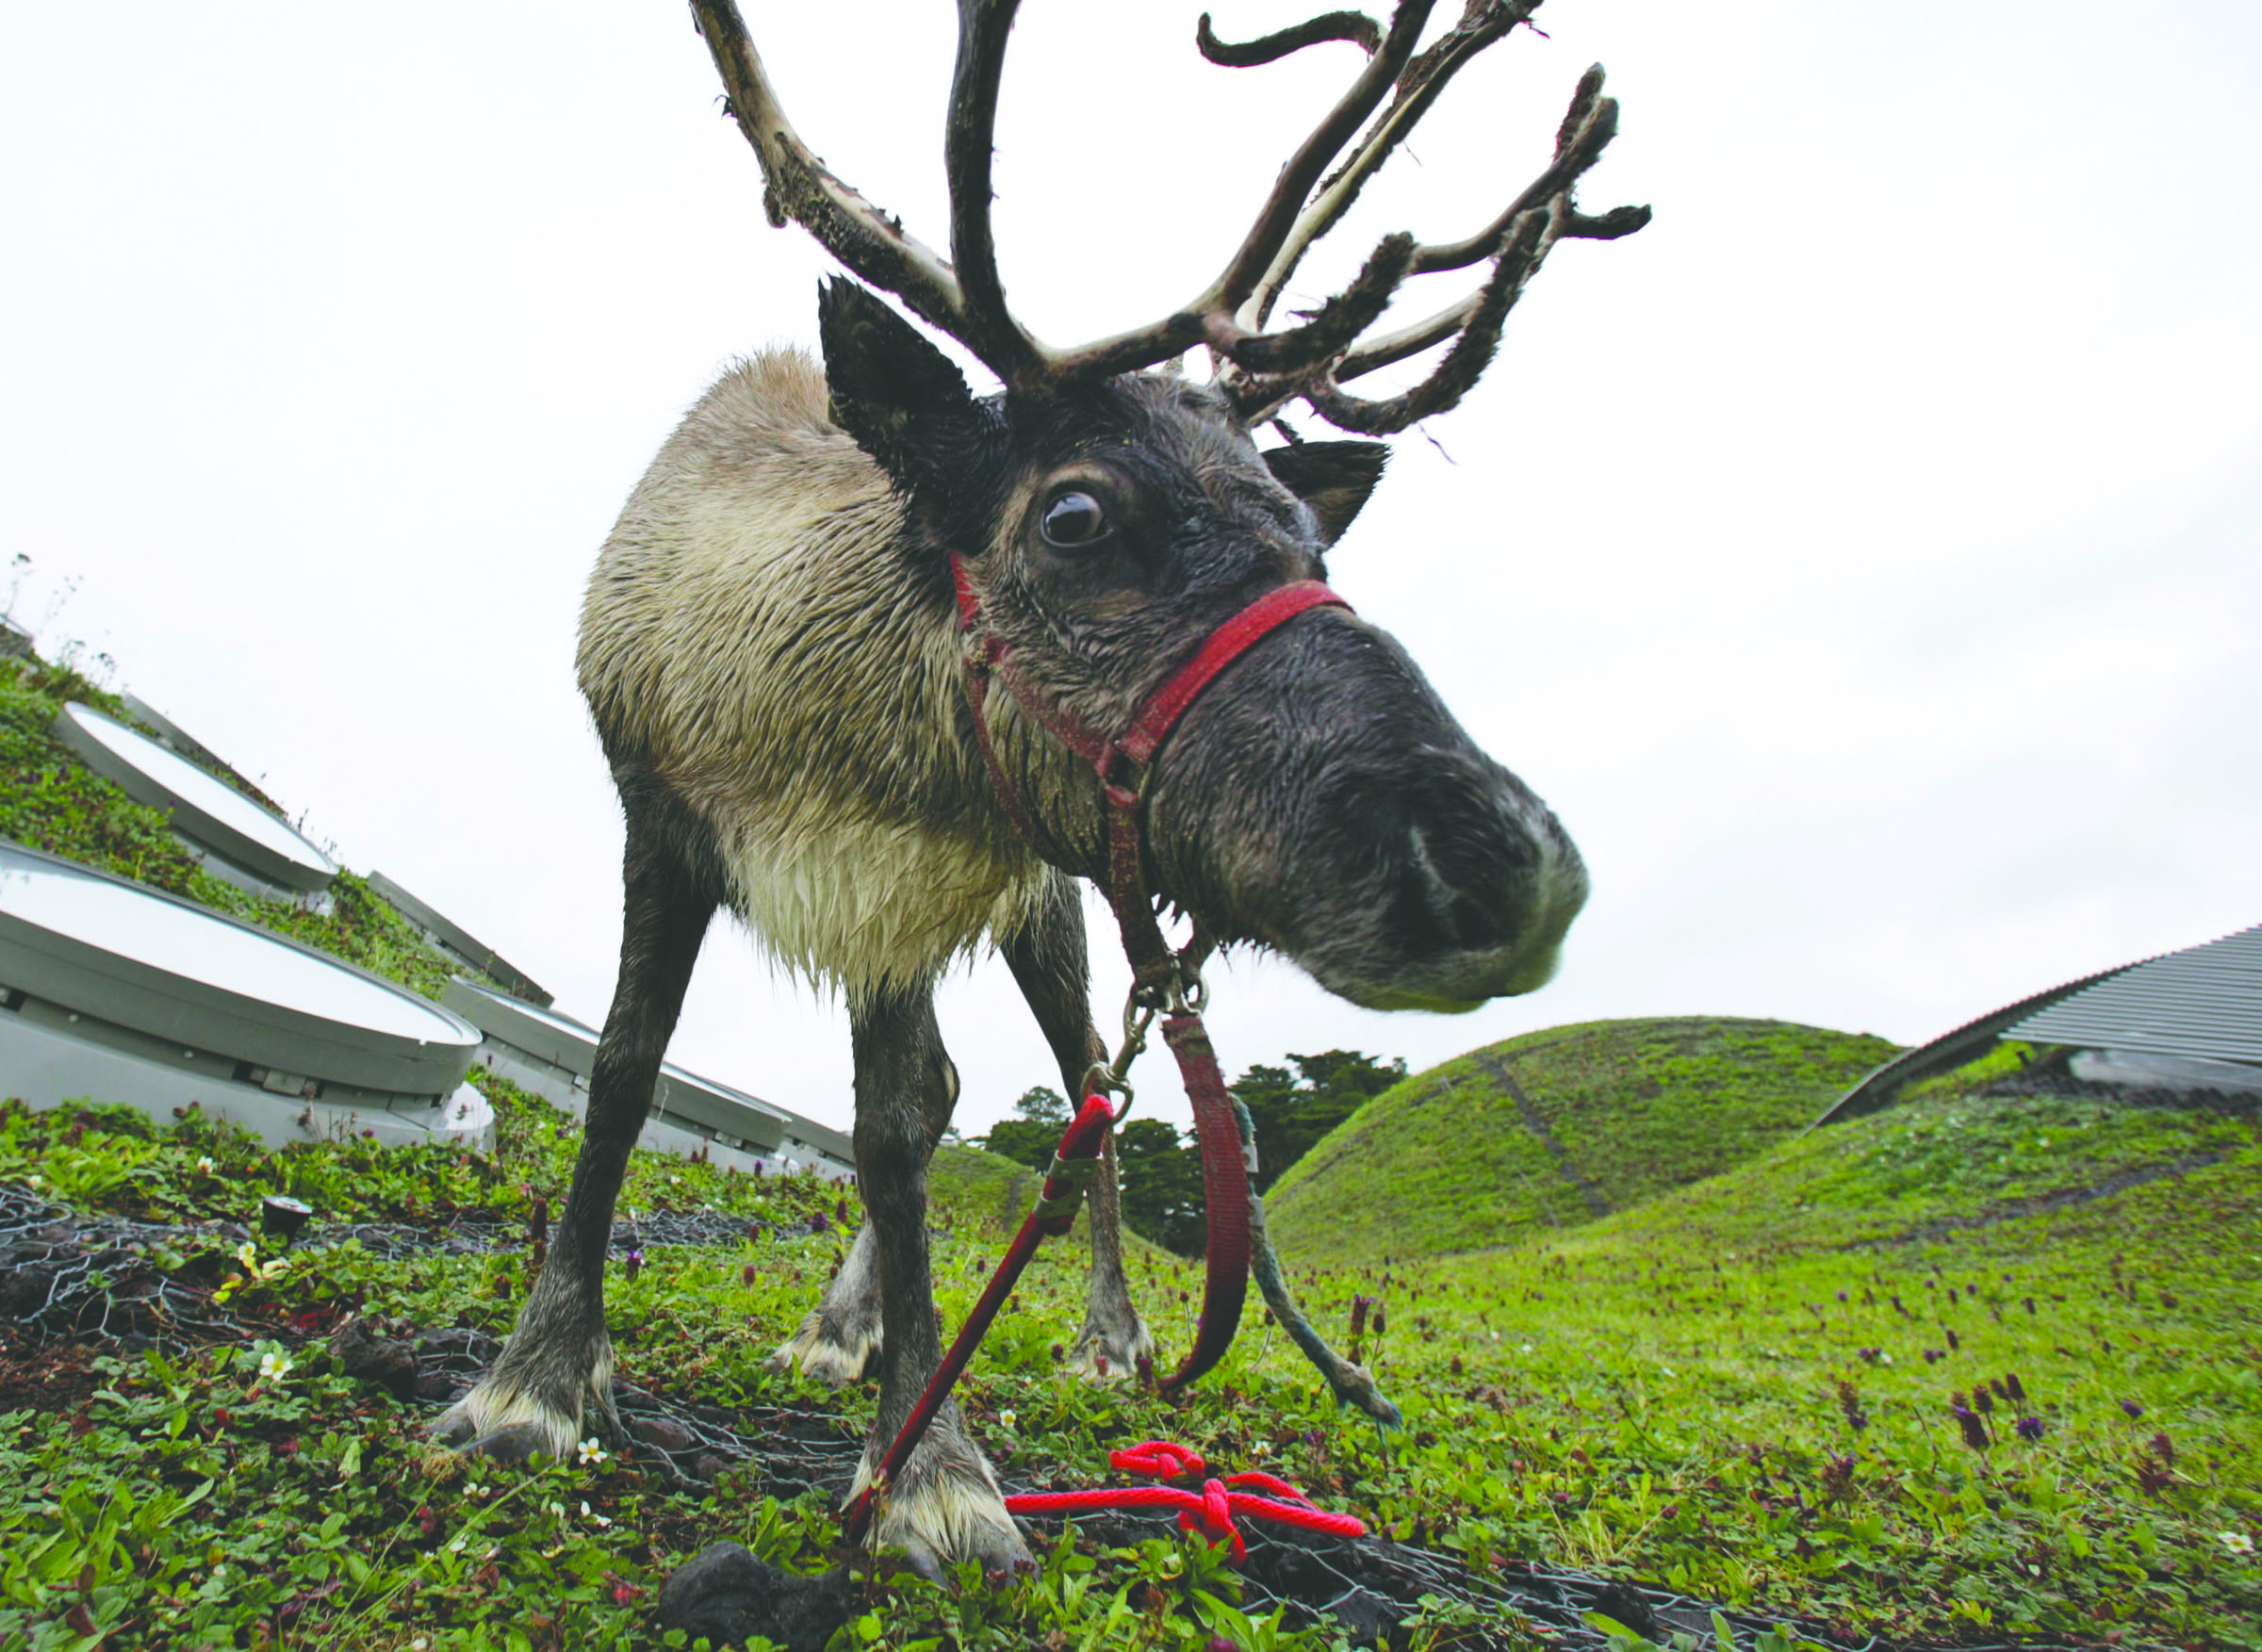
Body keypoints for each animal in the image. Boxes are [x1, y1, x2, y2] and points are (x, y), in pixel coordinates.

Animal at [434, 0, 1645, 1589]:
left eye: (1310, 534)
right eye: (1075, 515)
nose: (1511, 865)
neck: (805, 726)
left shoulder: (917, 881)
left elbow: (896, 1132)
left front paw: (929, 1469)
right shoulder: (678, 825)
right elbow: (631, 1073)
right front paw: (536, 1383)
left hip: (1054, 903)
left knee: (1080, 1095)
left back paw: (1111, 1339)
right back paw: (843, 1329)